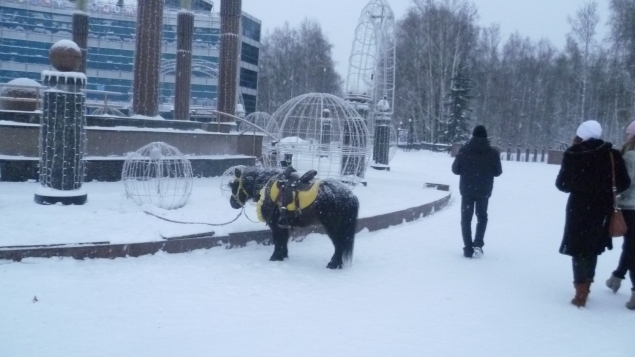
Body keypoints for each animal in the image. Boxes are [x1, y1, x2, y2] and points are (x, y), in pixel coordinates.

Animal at [229, 165, 360, 268]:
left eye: (234, 185)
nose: (232, 203)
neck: (265, 186)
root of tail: (350, 195)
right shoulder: (282, 225)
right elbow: (283, 241)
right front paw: (283, 256)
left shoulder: (275, 225)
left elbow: (278, 240)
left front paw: (275, 257)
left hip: (333, 227)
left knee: (339, 244)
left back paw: (333, 264)